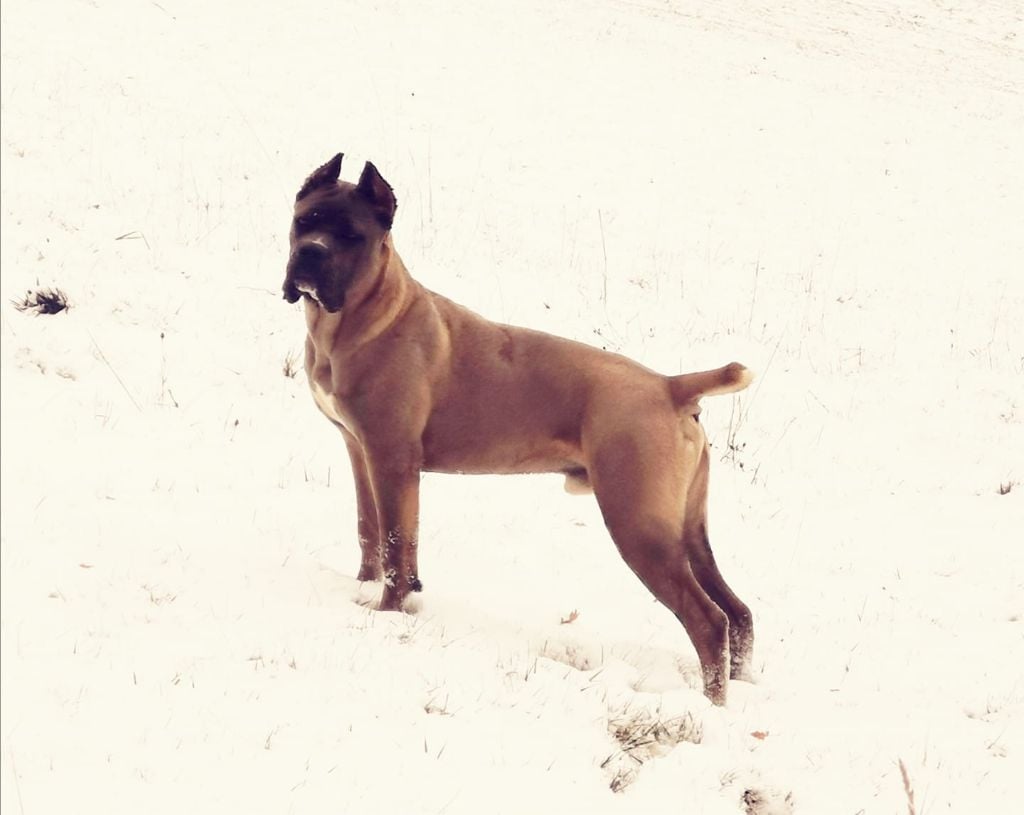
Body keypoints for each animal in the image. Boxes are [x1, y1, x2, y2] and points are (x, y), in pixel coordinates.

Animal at [283, 154, 754, 704]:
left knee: (708, 621)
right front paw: (364, 590)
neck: (358, 318)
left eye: (351, 235)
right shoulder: (361, 453)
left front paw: (388, 616)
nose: (310, 255)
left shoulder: (393, 461)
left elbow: (398, 547)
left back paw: (711, 704)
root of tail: (670, 385)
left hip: (640, 527)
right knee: (738, 611)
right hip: (687, 531)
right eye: (305, 222)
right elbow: (370, 533)